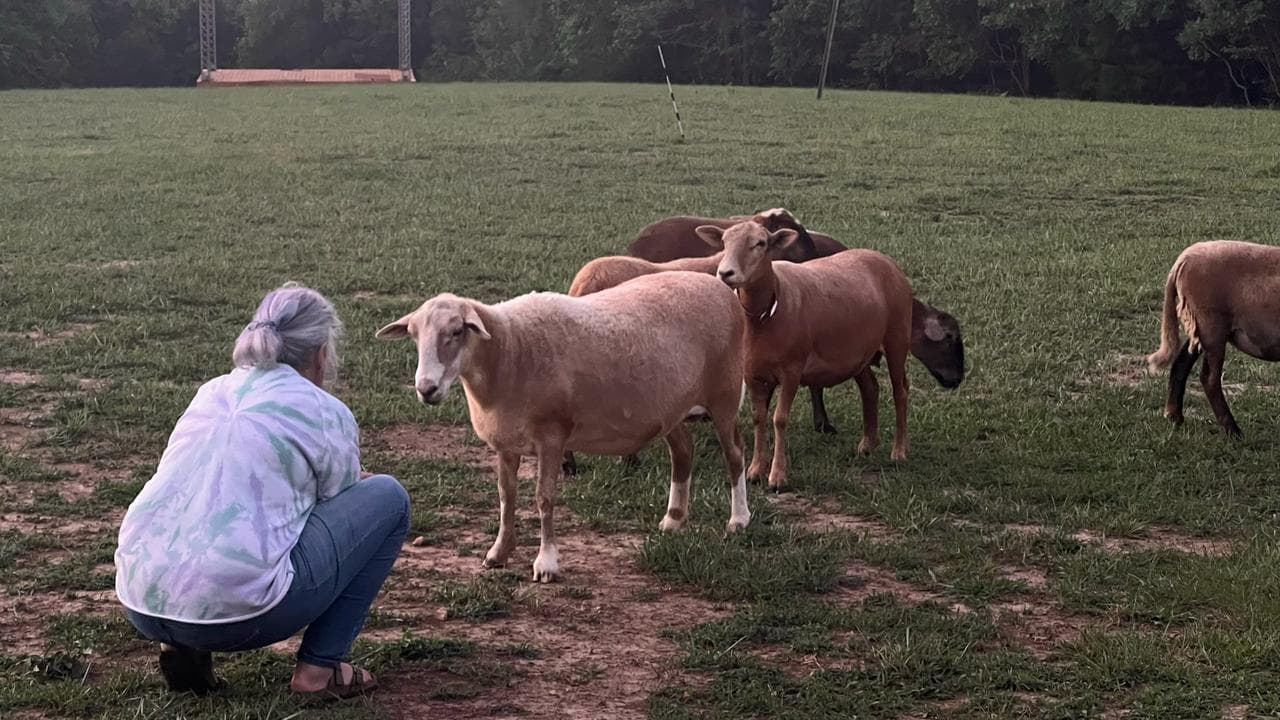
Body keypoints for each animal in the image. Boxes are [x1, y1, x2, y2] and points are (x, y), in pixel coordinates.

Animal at [375, 271, 750, 582]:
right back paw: (673, 519)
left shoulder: (552, 437)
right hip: (671, 406)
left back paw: (738, 520)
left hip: (725, 394)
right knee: (683, 450)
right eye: (413, 336)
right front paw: (499, 552)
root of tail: (719, 286)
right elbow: (506, 496)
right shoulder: (506, 442)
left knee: (734, 454)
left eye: (456, 332)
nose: (426, 389)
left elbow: (544, 498)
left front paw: (546, 563)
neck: (510, 351)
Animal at [698, 220, 915, 488]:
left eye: (760, 243)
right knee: (870, 388)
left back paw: (899, 451)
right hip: (859, 351)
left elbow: (779, 419)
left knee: (900, 391)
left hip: (897, 338)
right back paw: (868, 444)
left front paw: (777, 476)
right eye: (724, 242)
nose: (725, 273)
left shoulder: (792, 370)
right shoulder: (752, 374)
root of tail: (885, 259)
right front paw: (755, 470)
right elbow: (759, 418)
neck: (765, 313)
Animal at [1146, 240, 1280, 437]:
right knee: (1209, 378)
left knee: (1181, 363)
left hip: (1199, 326)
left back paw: (1174, 417)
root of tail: (1183, 260)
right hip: (1211, 324)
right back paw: (1233, 431)